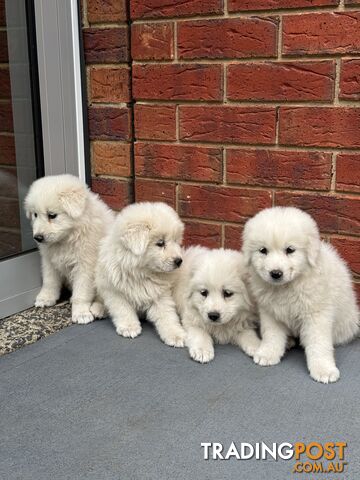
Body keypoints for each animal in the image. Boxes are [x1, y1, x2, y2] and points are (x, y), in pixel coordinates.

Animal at [24, 174, 114, 324]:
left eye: (52, 215)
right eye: (35, 214)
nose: (38, 238)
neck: (67, 238)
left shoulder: (85, 266)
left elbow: (81, 292)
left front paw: (81, 314)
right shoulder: (49, 260)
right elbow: (49, 281)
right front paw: (45, 298)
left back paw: (98, 309)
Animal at [95, 201, 186, 346]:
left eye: (176, 241)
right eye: (160, 243)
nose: (179, 261)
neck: (142, 272)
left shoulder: (159, 294)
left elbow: (167, 315)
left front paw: (176, 335)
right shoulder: (115, 292)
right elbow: (123, 310)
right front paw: (129, 328)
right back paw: (98, 309)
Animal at [242, 206, 360, 382]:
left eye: (290, 250)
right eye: (263, 250)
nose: (275, 273)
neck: (287, 286)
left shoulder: (317, 315)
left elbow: (319, 343)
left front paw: (324, 370)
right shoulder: (270, 312)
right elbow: (272, 335)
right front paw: (268, 353)